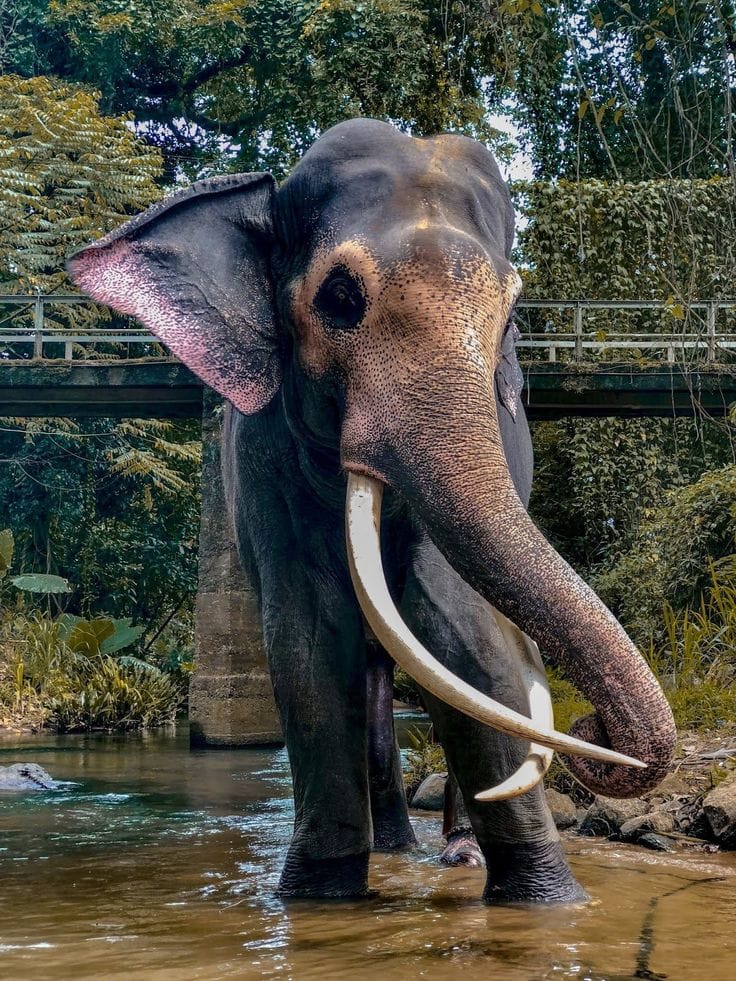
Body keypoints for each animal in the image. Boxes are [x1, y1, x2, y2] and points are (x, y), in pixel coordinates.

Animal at [69, 117, 676, 904]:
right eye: (339, 297)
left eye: (512, 315)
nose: (594, 731)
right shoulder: (261, 453)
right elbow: (307, 638)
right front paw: (317, 897)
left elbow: (460, 626)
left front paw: (548, 902)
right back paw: (393, 844)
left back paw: (457, 853)